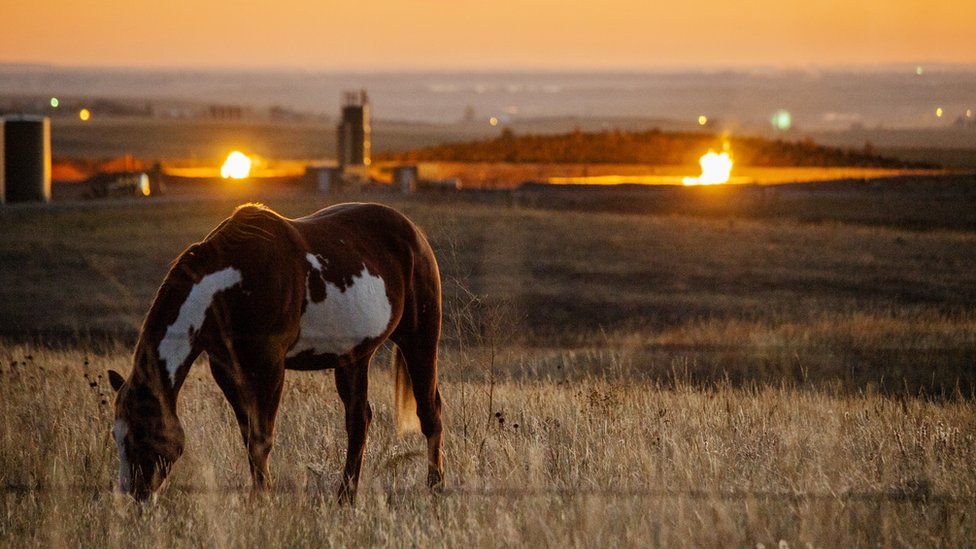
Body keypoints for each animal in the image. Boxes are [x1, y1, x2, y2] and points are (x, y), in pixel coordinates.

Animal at [107, 202, 442, 500]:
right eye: (117, 435)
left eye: (141, 434)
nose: (134, 494)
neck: (230, 287)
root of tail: (414, 232)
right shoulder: (226, 369)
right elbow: (249, 436)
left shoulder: (270, 367)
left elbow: (262, 438)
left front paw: (262, 500)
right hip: (354, 358)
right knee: (359, 421)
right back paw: (346, 496)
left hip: (420, 340)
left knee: (429, 412)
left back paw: (434, 487)